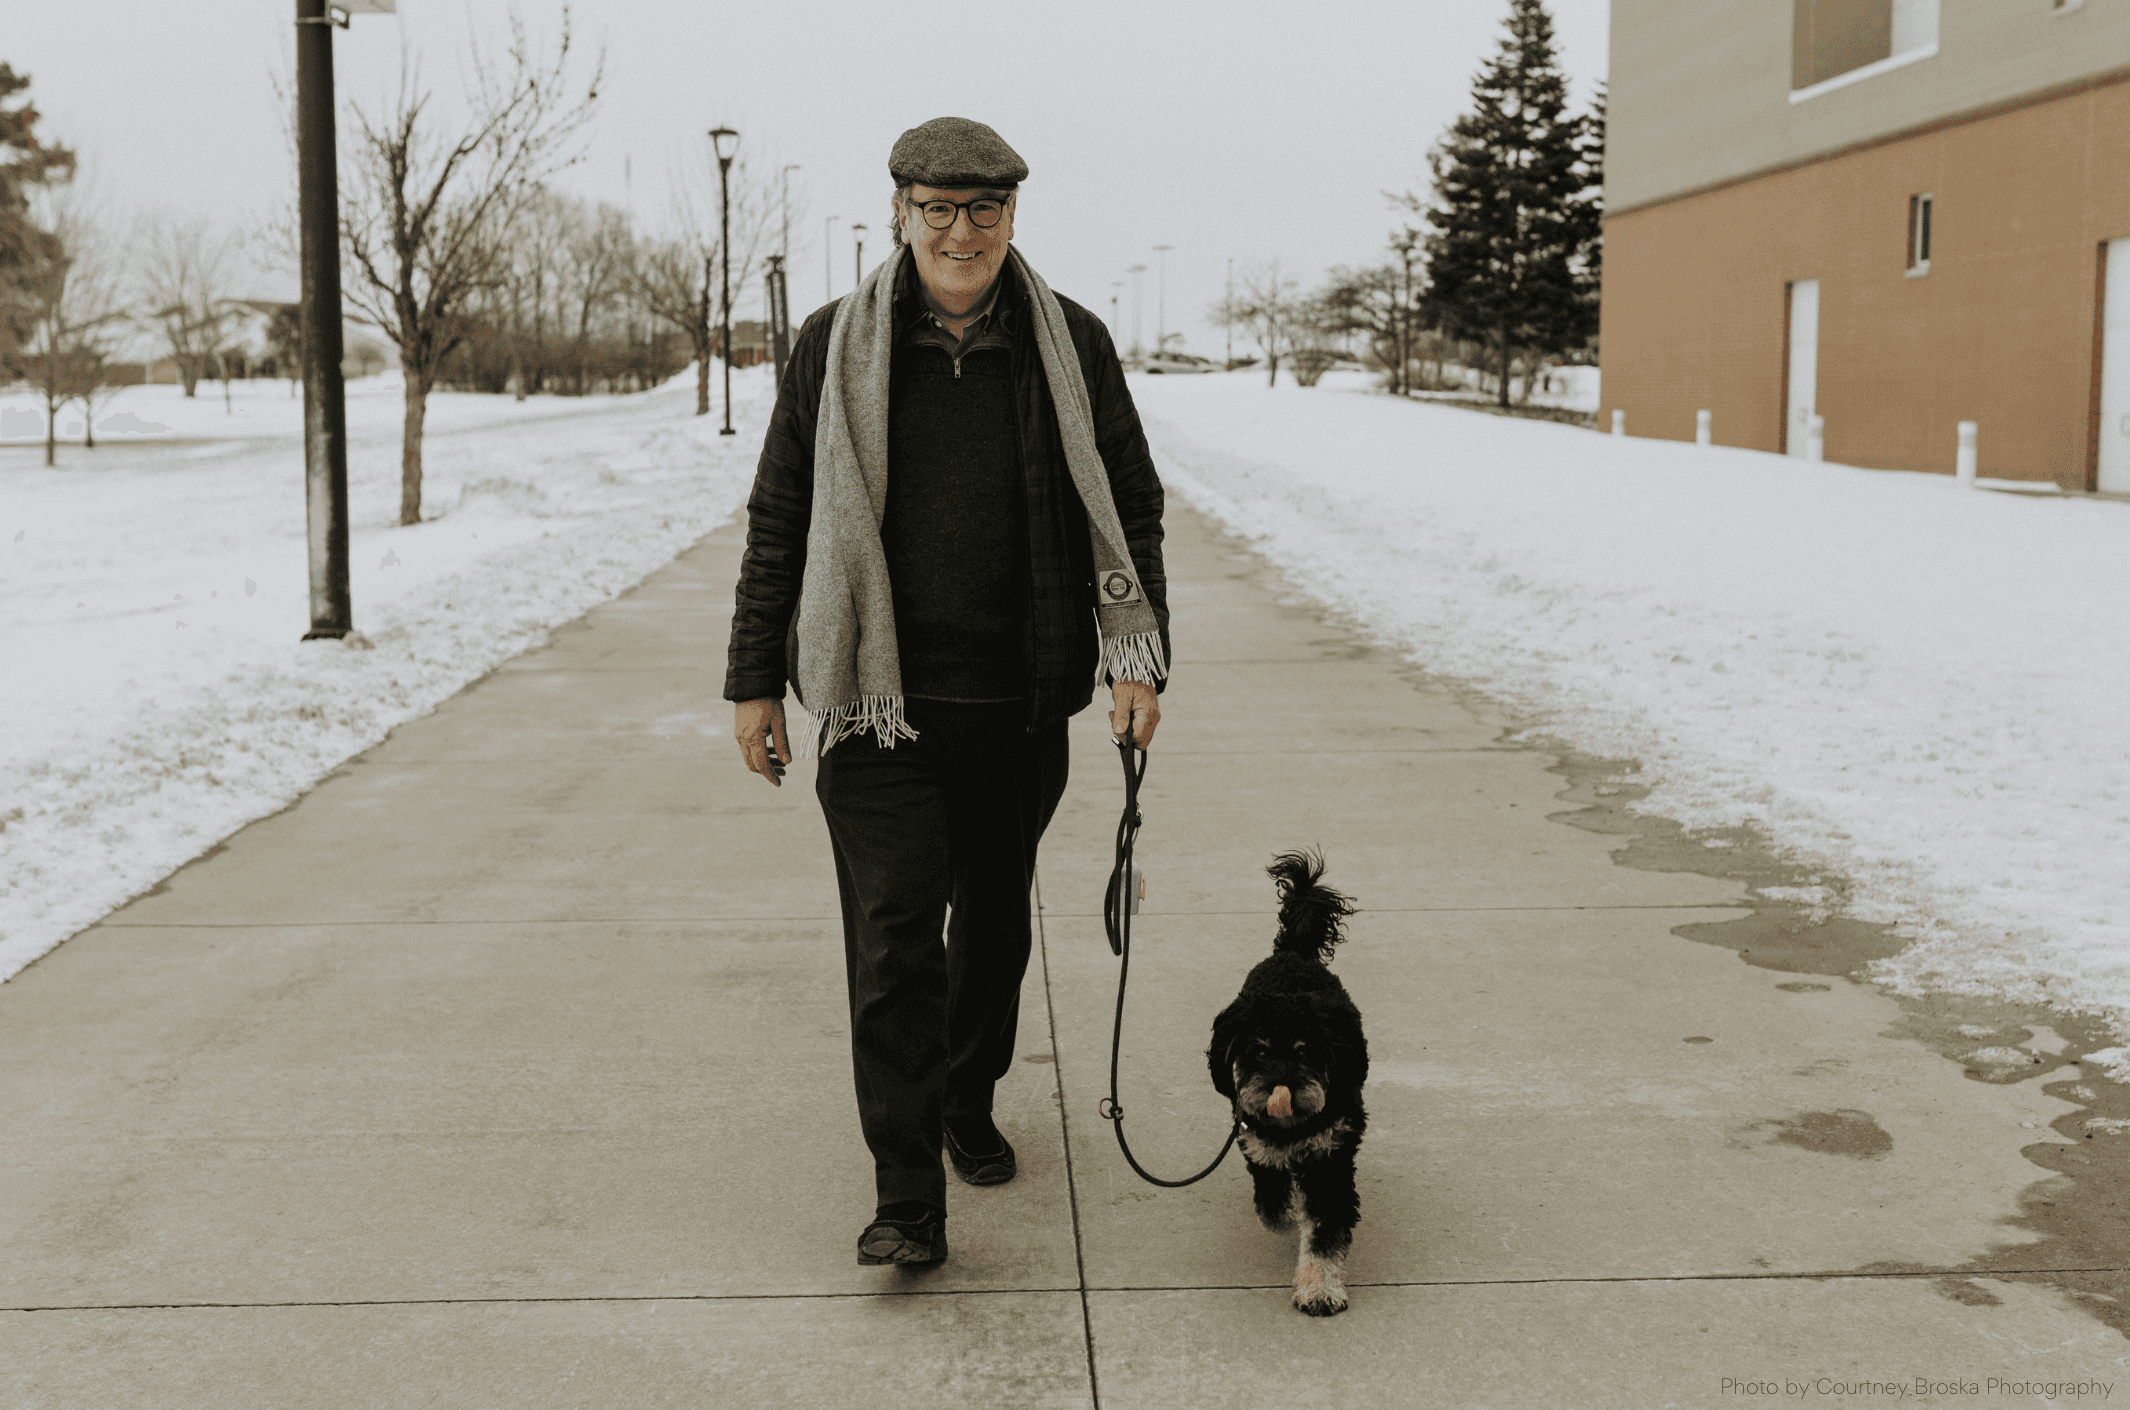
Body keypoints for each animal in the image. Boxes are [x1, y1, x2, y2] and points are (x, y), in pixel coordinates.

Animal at [1209, 856, 1371, 1320]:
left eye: (1304, 1053)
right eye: (1259, 1052)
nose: (1281, 1090)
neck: (1291, 1129)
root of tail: (1293, 953)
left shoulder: (1330, 1161)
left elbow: (1324, 1235)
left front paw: (1319, 1290)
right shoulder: (1257, 1143)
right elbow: (1271, 1196)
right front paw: (1283, 1217)